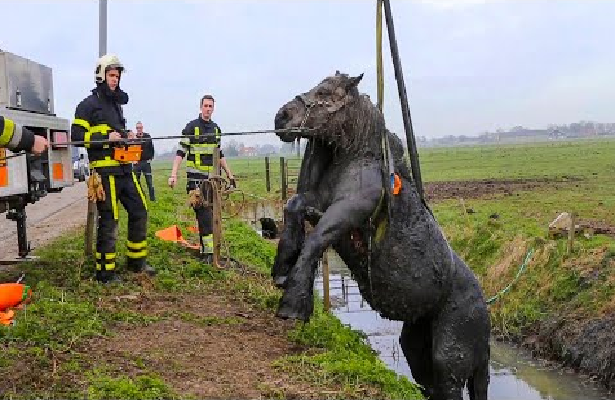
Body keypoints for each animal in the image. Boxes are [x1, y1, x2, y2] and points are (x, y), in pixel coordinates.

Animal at [272, 72, 494, 400]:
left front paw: (294, 304)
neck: (358, 159)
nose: (282, 117)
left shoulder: (346, 213)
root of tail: (486, 311)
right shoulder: (318, 206)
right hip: (417, 346)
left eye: (324, 92)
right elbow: (294, 206)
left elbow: (316, 240)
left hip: (451, 359)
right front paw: (281, 271)